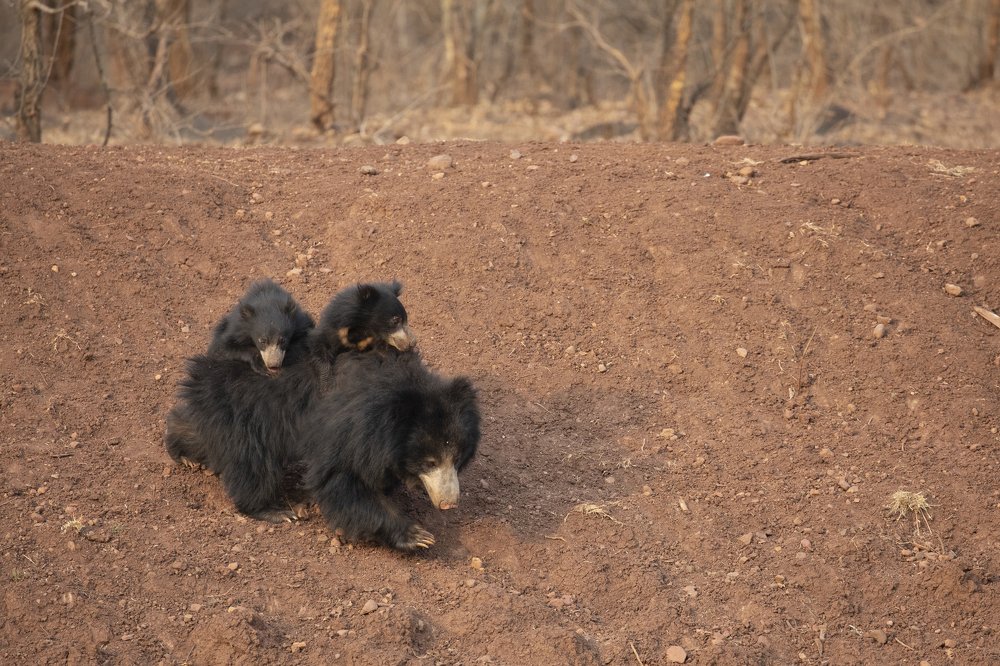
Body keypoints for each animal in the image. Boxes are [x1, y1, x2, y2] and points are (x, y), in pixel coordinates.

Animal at [164, 281, 417, 524]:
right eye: (395, 320)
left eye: (403, 319)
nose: (412, 343)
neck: (362, 332)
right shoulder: (329, 334)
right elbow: (320, 355)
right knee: (252, 468)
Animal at [298, 347, 480, 551]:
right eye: (430, 463)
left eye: (457, 460)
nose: (449, 504)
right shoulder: (346, 432)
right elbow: (340, 480)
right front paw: (418, 536)